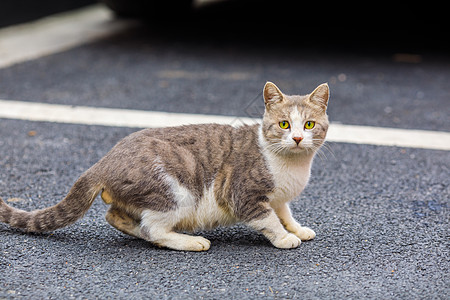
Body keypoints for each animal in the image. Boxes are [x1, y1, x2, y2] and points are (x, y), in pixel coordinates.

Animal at [0, 81, 330, 251]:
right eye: (284, 124)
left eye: (309, 124)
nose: (298, 138)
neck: (292, 166)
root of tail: (105, 160)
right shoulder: (244, 195)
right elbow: (269, 220)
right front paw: (285, 238)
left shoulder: (278, 198)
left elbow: (285, 214)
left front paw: (297, 229)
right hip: (177, 193)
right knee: (154, 228)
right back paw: (190, 241)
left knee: (115, 216)